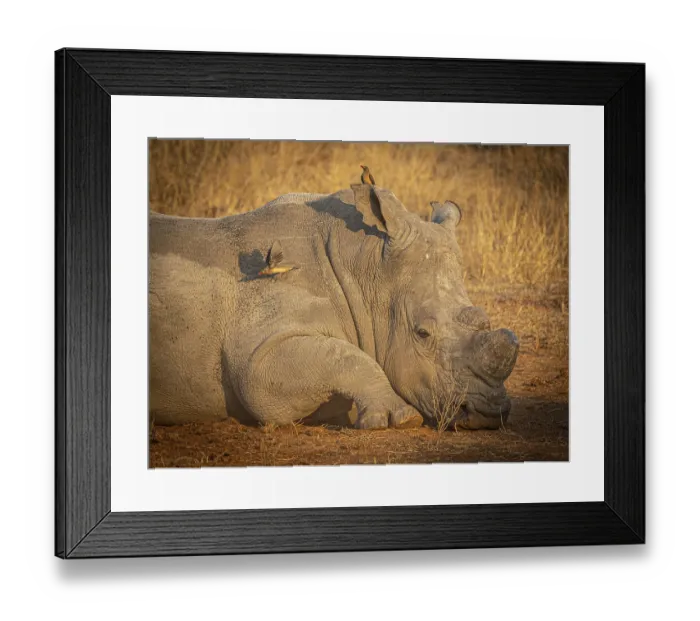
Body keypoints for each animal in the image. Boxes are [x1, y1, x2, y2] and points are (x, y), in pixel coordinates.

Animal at [149, 184, 519, 430]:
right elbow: (342, 357)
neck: (365, 268)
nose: (488, 414)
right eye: (422, 333)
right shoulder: (259, 353)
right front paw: (398, 417)